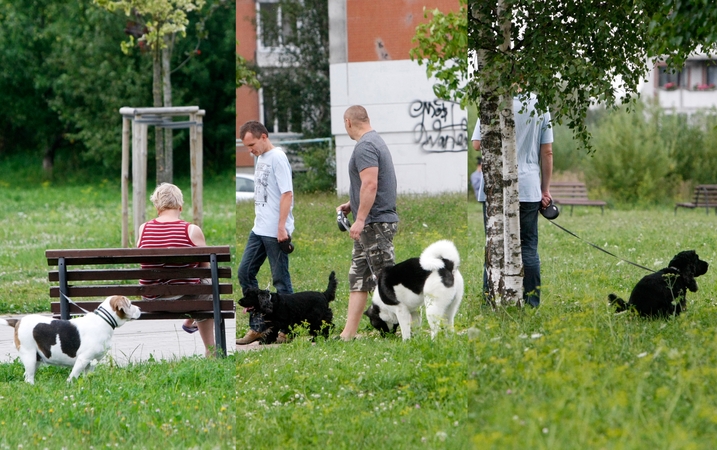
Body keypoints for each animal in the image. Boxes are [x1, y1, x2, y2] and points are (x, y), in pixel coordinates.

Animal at [0, 296, 141, 384]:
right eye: (130, 304)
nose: (140, 309)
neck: (103, 321)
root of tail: (18, 321)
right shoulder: (83, 359)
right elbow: (73, 376)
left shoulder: (91, 362)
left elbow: (87, 376)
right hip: (29, 356)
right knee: (29, 378)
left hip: (36, 359)